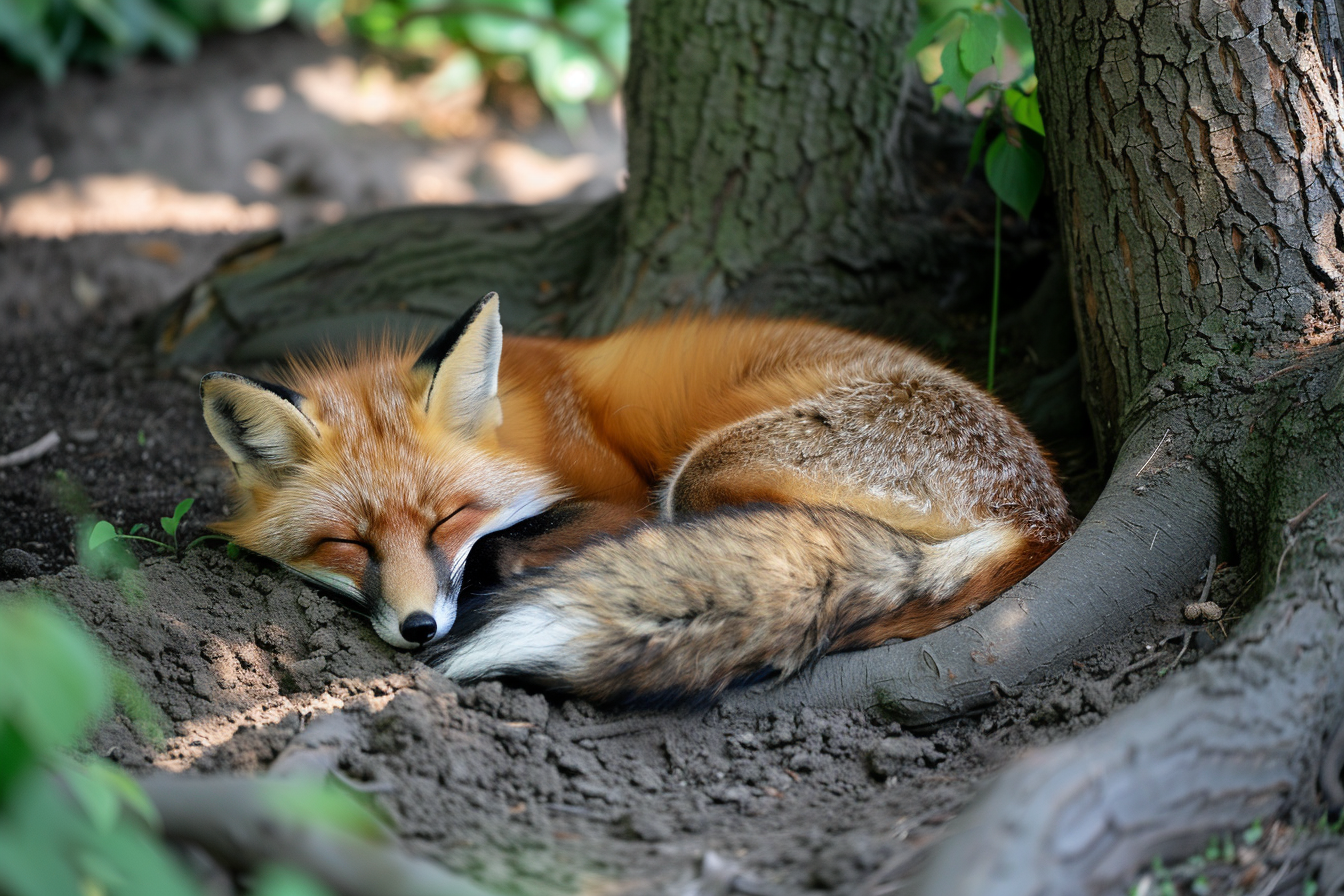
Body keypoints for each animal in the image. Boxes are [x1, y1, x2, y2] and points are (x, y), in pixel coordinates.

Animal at [200, 292, 1074, 705]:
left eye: (449, 518)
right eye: (349, 543)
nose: (420, 629)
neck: (527, 422)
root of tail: (1045, 518)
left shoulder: (622, 497)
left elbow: (510, 547)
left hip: (703, 472)